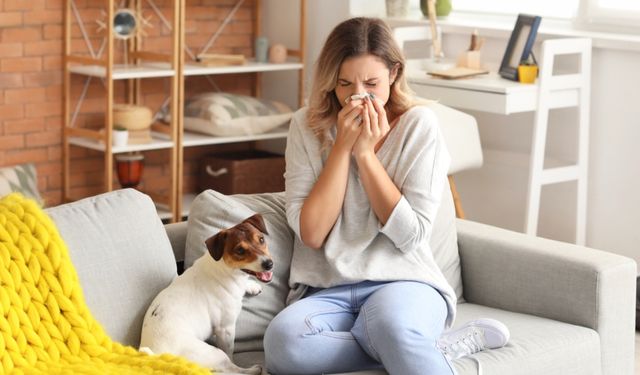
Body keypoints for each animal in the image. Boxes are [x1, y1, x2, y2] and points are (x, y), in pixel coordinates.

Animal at [140, 214, 272, 375]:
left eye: (261, 239)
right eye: (240, 250)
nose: (269, 264)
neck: (224, 269)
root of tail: (157, 355)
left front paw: (252, 286)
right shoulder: (225, 329)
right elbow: (230, 352)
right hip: (213, 353)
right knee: (230, 369)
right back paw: (252, 370)